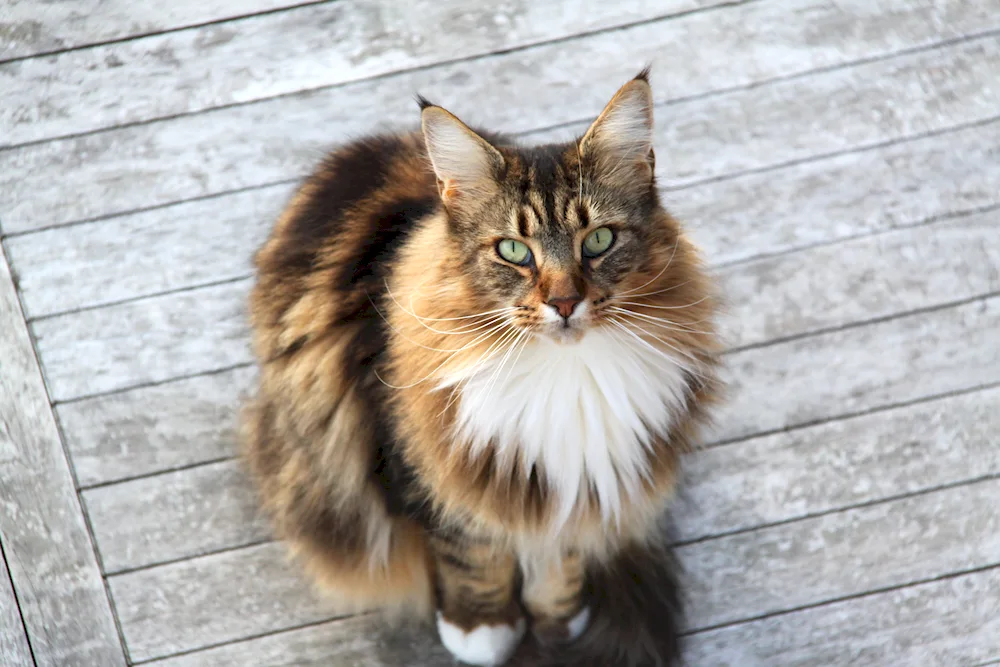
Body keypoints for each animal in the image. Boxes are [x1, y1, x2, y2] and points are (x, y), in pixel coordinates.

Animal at [245, 70, 724, 664]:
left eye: (599, 240)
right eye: (514, 251)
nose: (565, 303)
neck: (566, 373)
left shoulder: (581, 480)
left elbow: (559, 557)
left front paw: (559, 621)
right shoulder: (421, 461)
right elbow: (471, 551)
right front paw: (481, 630)